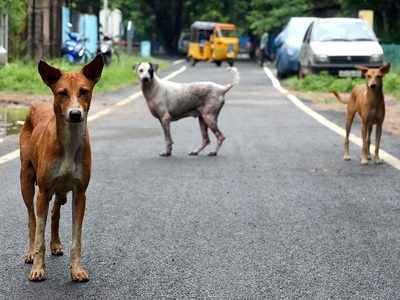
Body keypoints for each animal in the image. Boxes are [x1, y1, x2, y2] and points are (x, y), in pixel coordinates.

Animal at [19, 54, 104, 282]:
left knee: (55, 212)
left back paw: (56, 244)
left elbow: (77, 238)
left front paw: (76, 269)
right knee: (31, 219)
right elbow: (39, 234)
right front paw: (38, 268)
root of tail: (35, 104)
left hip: (61, 191)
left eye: (84, 91)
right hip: (27, 181)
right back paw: (29, 253)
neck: (69, 143)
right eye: (62, 93)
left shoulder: (80, 193)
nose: (75, 114)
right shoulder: (43, 191)